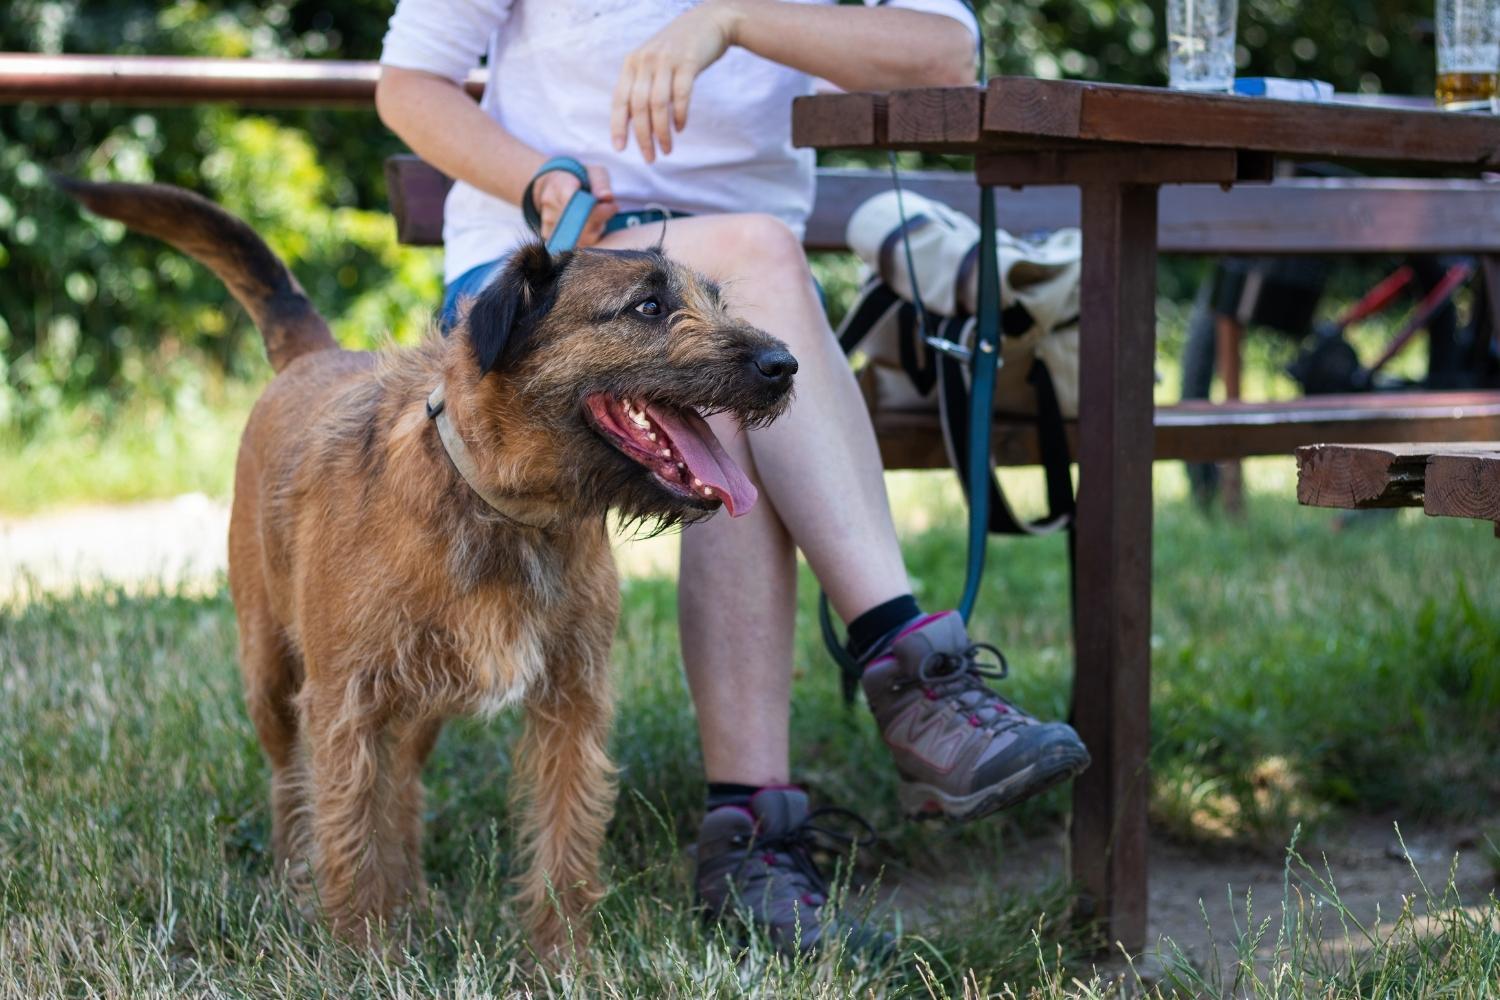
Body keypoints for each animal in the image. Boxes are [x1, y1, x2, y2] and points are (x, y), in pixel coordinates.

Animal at [61, 177, 798, 953]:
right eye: (648, 307)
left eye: (714, 299)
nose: (783, 366)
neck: (506, 508)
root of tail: (312, 356)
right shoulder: (344, 703)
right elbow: (347, 834)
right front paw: (358, 955)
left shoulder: (571, 703)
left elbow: (562, 842)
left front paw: (562, 960)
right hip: (270, 673)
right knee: (291, 784)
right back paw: (299, 880)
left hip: (418, 707)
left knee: (403, 792)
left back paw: (412, 896)